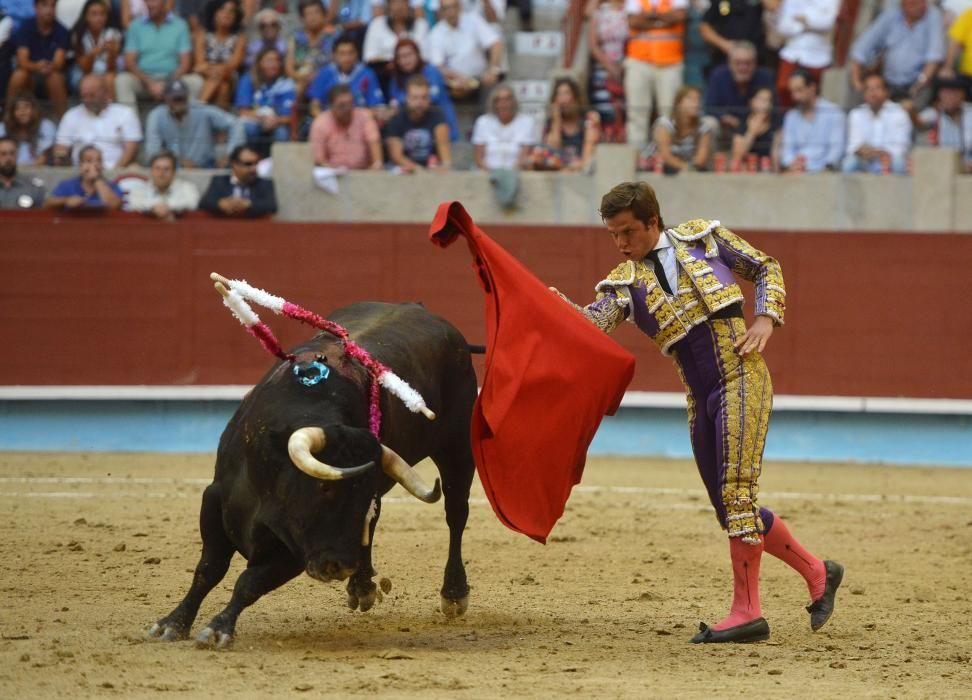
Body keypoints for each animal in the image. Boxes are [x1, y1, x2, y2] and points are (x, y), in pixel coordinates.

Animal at [147, 300, 478, 644]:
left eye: (359, 494)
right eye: (325, 488)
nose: (338, 566)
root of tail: (418, 306)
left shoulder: (296, 547)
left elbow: (249, 582)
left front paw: (218, 628)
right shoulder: (214, 498)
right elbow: (208, 569)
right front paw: (173, 623)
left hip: (457, 449)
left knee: (455, 515)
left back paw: (453, 593)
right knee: (376, 523)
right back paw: (362, 586)